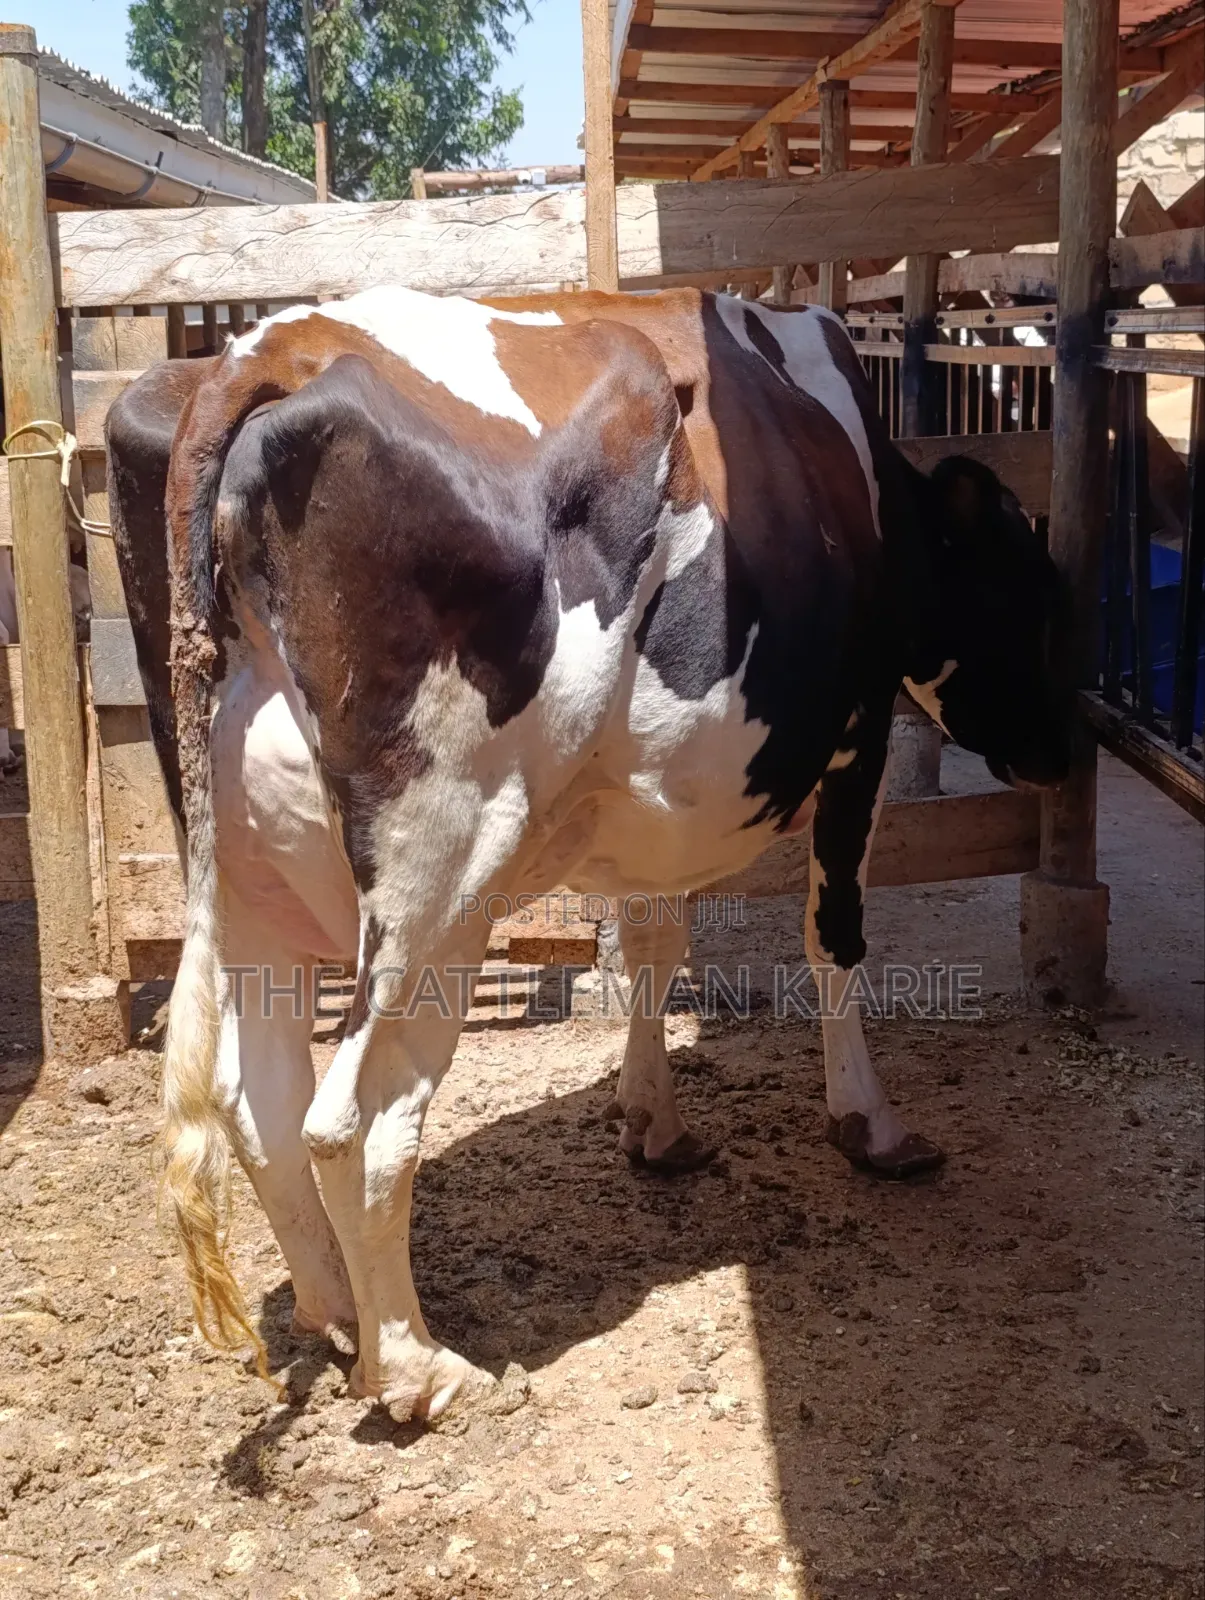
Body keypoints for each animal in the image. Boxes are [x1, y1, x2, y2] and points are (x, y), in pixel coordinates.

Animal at [106, 286, 1070, 1420]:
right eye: (1033, 595)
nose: (1062, 752)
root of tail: (266, 350)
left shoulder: (651, 795)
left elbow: (652, 945)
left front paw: (652, 1123)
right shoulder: (860, 733)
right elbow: (832, 940)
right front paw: (870, 1126)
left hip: (249, 879)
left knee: (260, 1103)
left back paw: (338, 1313)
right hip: (441, 872)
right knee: (354, 1120)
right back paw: (416, 1368)